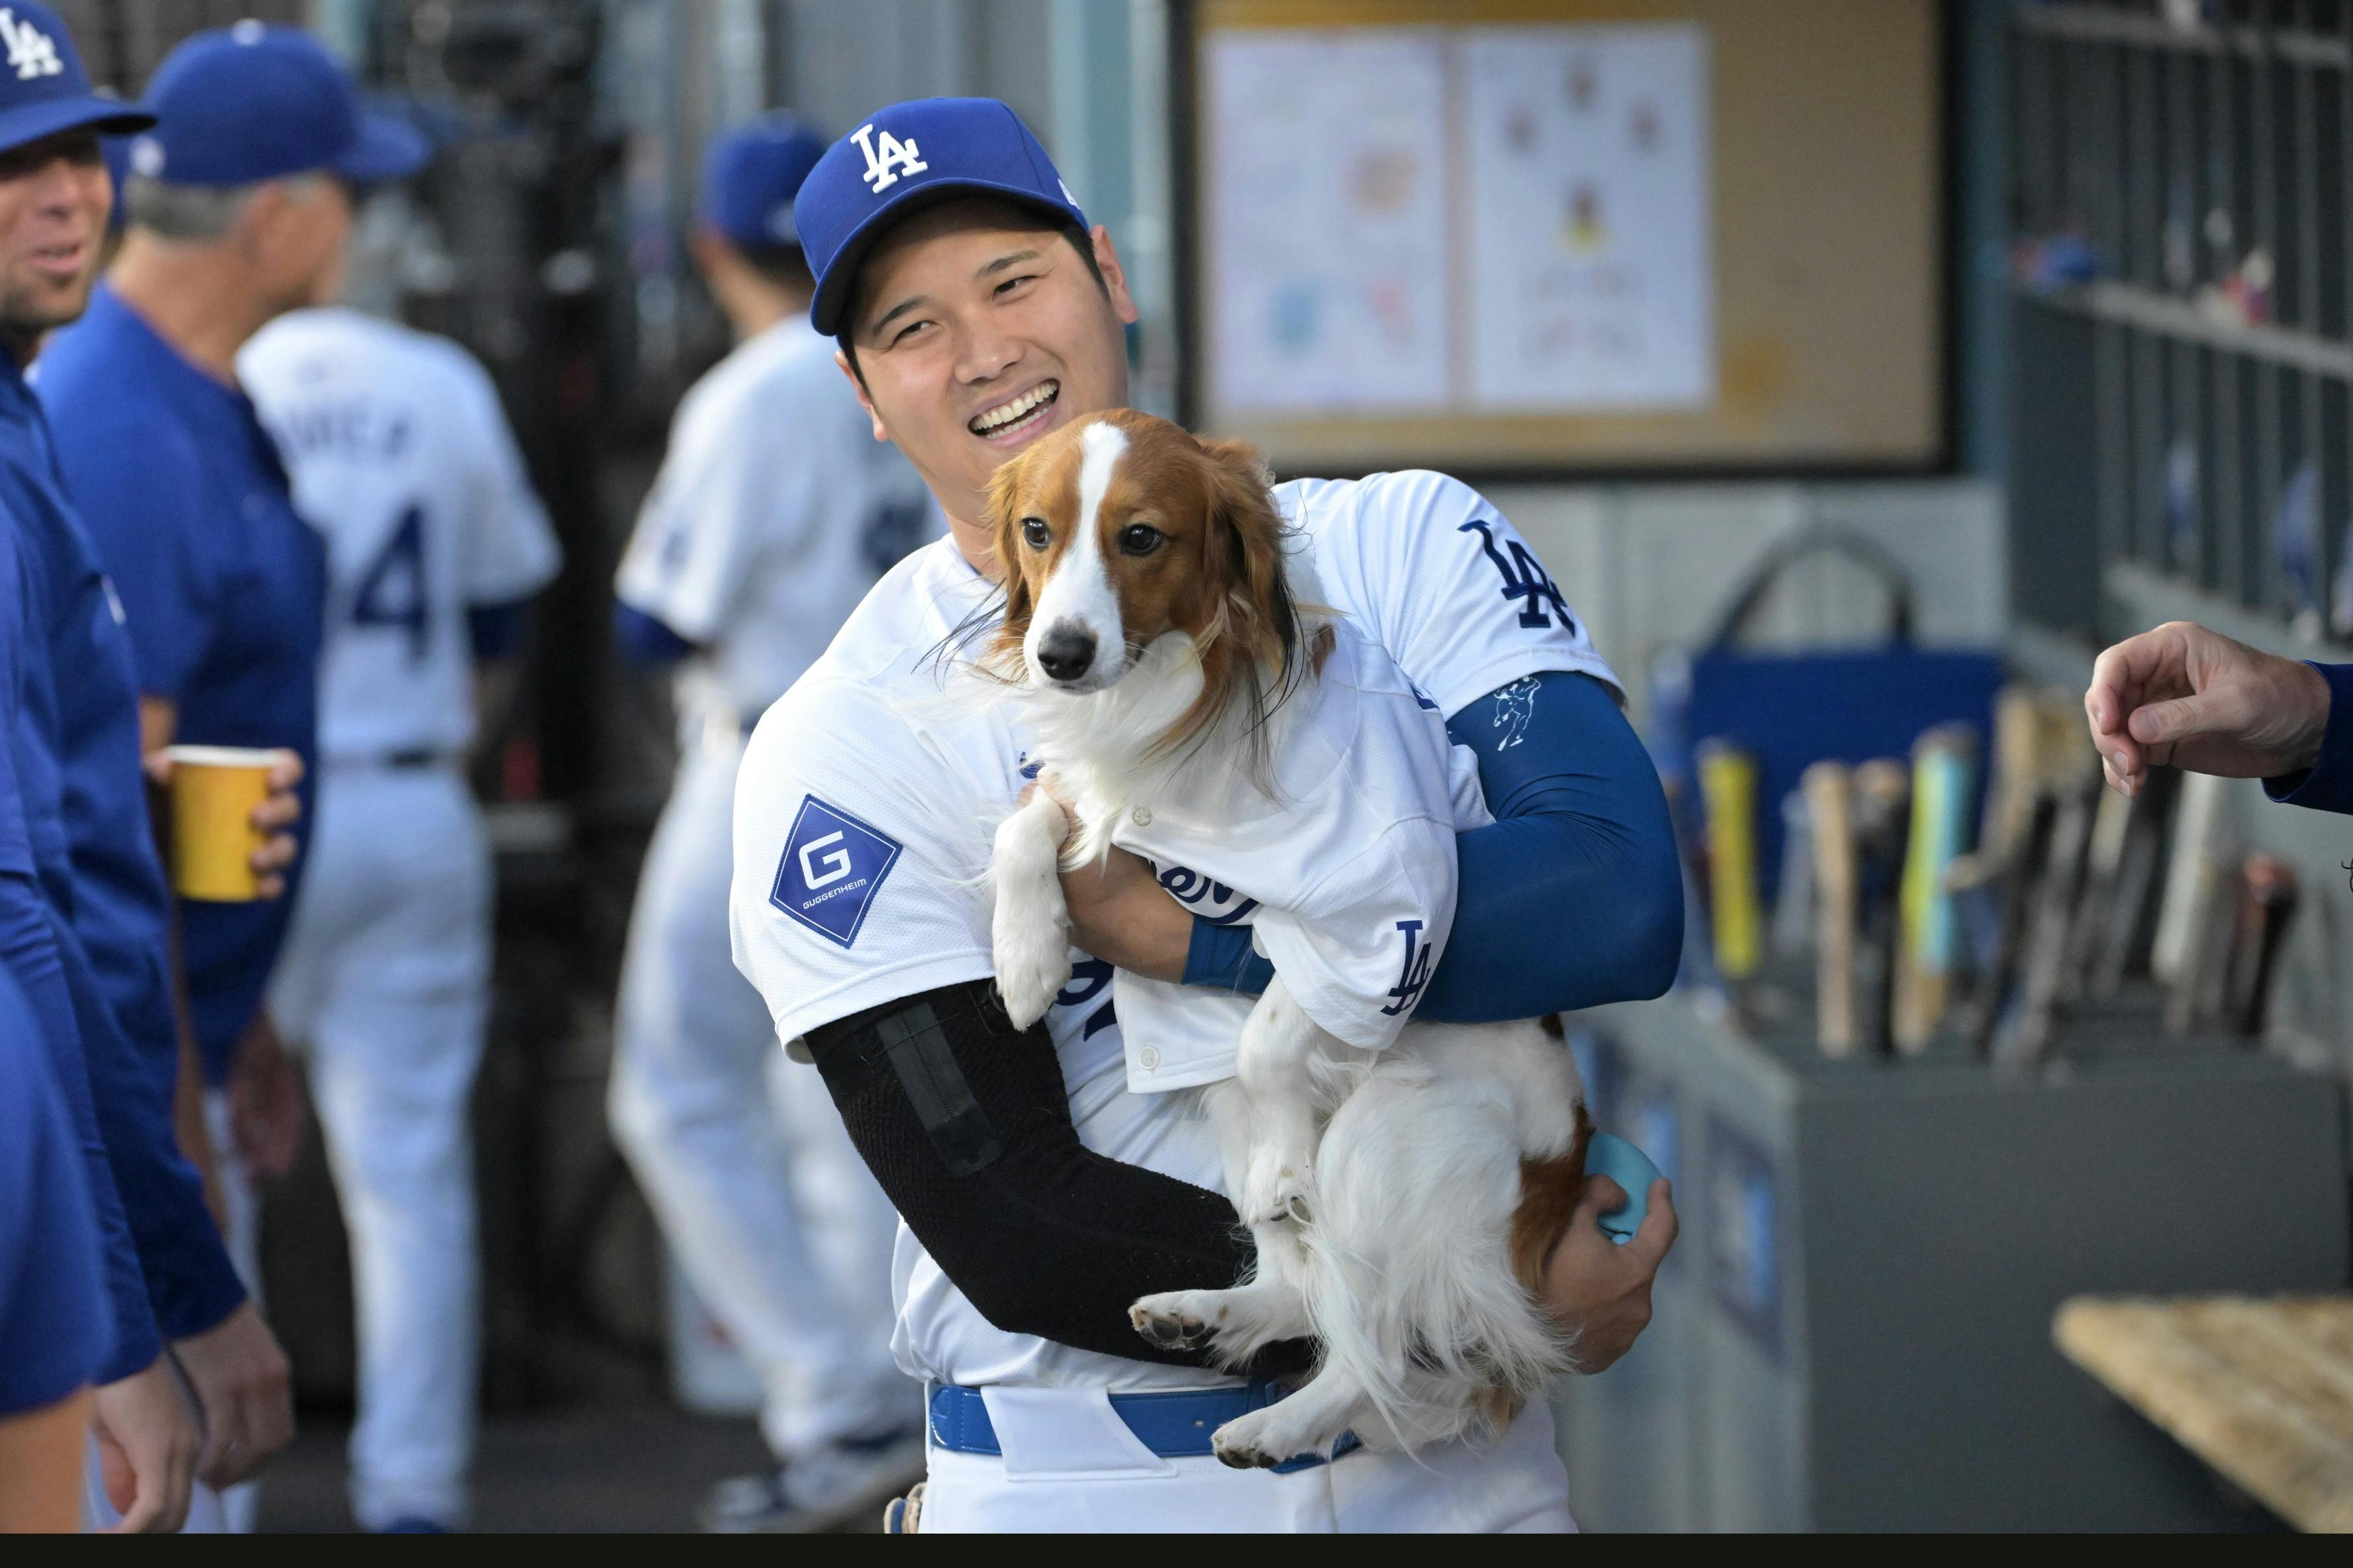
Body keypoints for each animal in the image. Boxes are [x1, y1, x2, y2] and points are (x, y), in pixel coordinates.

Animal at [974, 409, 1600, 1459]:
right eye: (1035, 530)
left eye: (1139, 537)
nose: (1059, 653)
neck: (1175, 696)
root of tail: (1567, 1163)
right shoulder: (1091, 799)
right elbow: (1024, 825)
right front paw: (1025, 957)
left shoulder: (1386, 914)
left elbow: (1274, 1024)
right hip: (1230, 1111)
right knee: (1303, 1284)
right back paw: (1207, 1311)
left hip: (1387, 1132)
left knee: (1375, 1343)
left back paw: (1286, 1418)